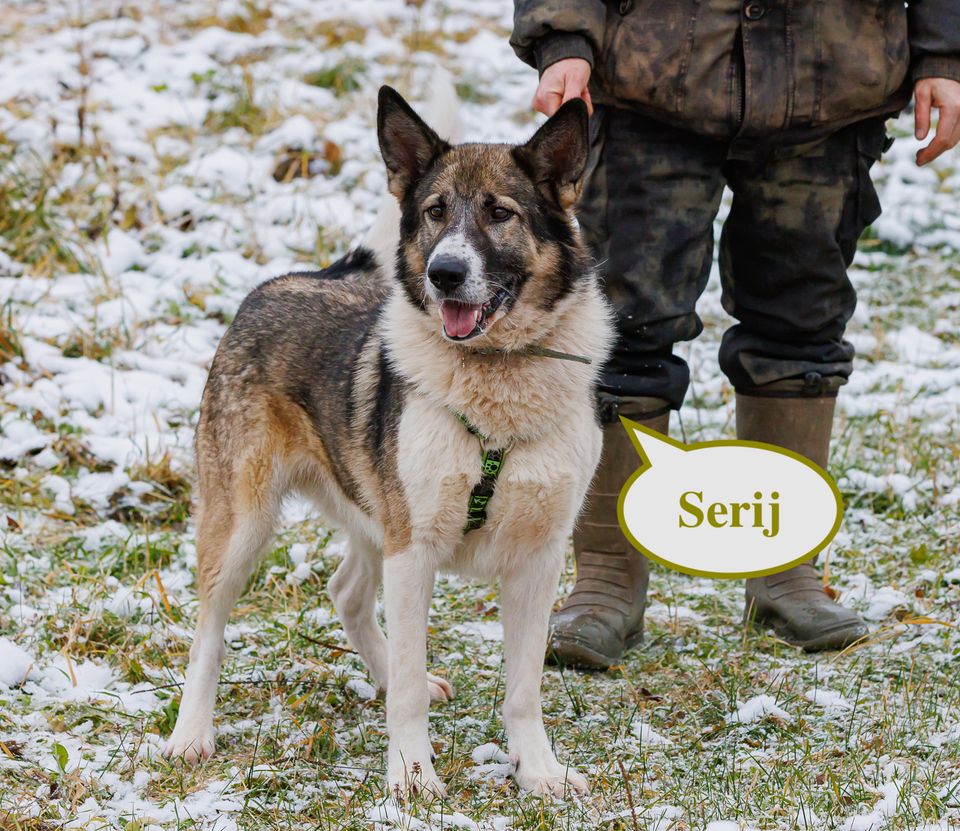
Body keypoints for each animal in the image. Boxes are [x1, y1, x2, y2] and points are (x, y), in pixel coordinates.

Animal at [163, 84, 616, 800]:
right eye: (434, 212)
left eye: (500, 213)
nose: (444, 273)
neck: (496, 376)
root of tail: (303, 276)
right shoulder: (415, 548)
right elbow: (405, 688)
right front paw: (410, 777)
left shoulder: (537, 559)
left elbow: (524, 689)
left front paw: (538, 772)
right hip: (246, 522)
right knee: (211, 623)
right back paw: (190, 734)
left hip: (373, 511)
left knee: (346, 591)